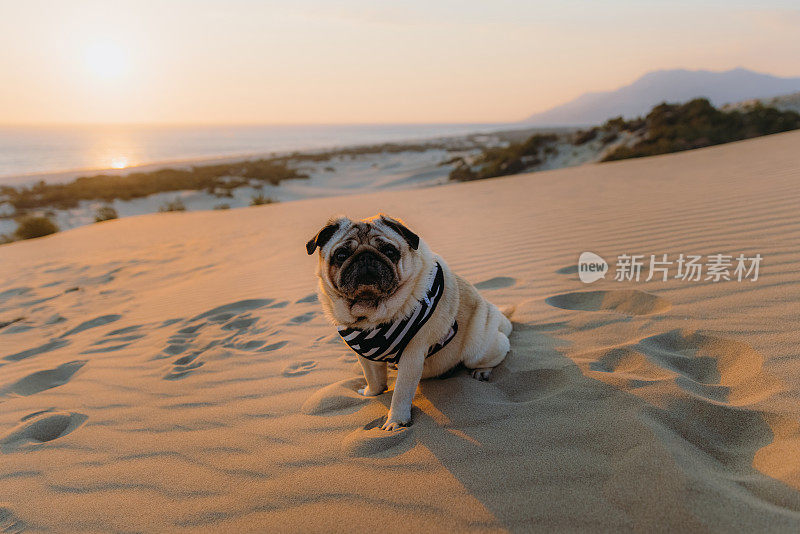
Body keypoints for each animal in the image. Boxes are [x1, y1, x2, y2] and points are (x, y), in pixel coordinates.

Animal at [306, 216, 512, 434]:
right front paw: (372, 393)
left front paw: (396, 421)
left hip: (478, 348)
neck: (371, 315)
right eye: (341, 255)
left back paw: (482, 370)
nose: (365, 257)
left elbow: (401, 393)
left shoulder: (412, 357)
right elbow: (373, 378)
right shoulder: (365, 356)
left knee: (500, 348)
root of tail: (491, 310)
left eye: (389, 251)